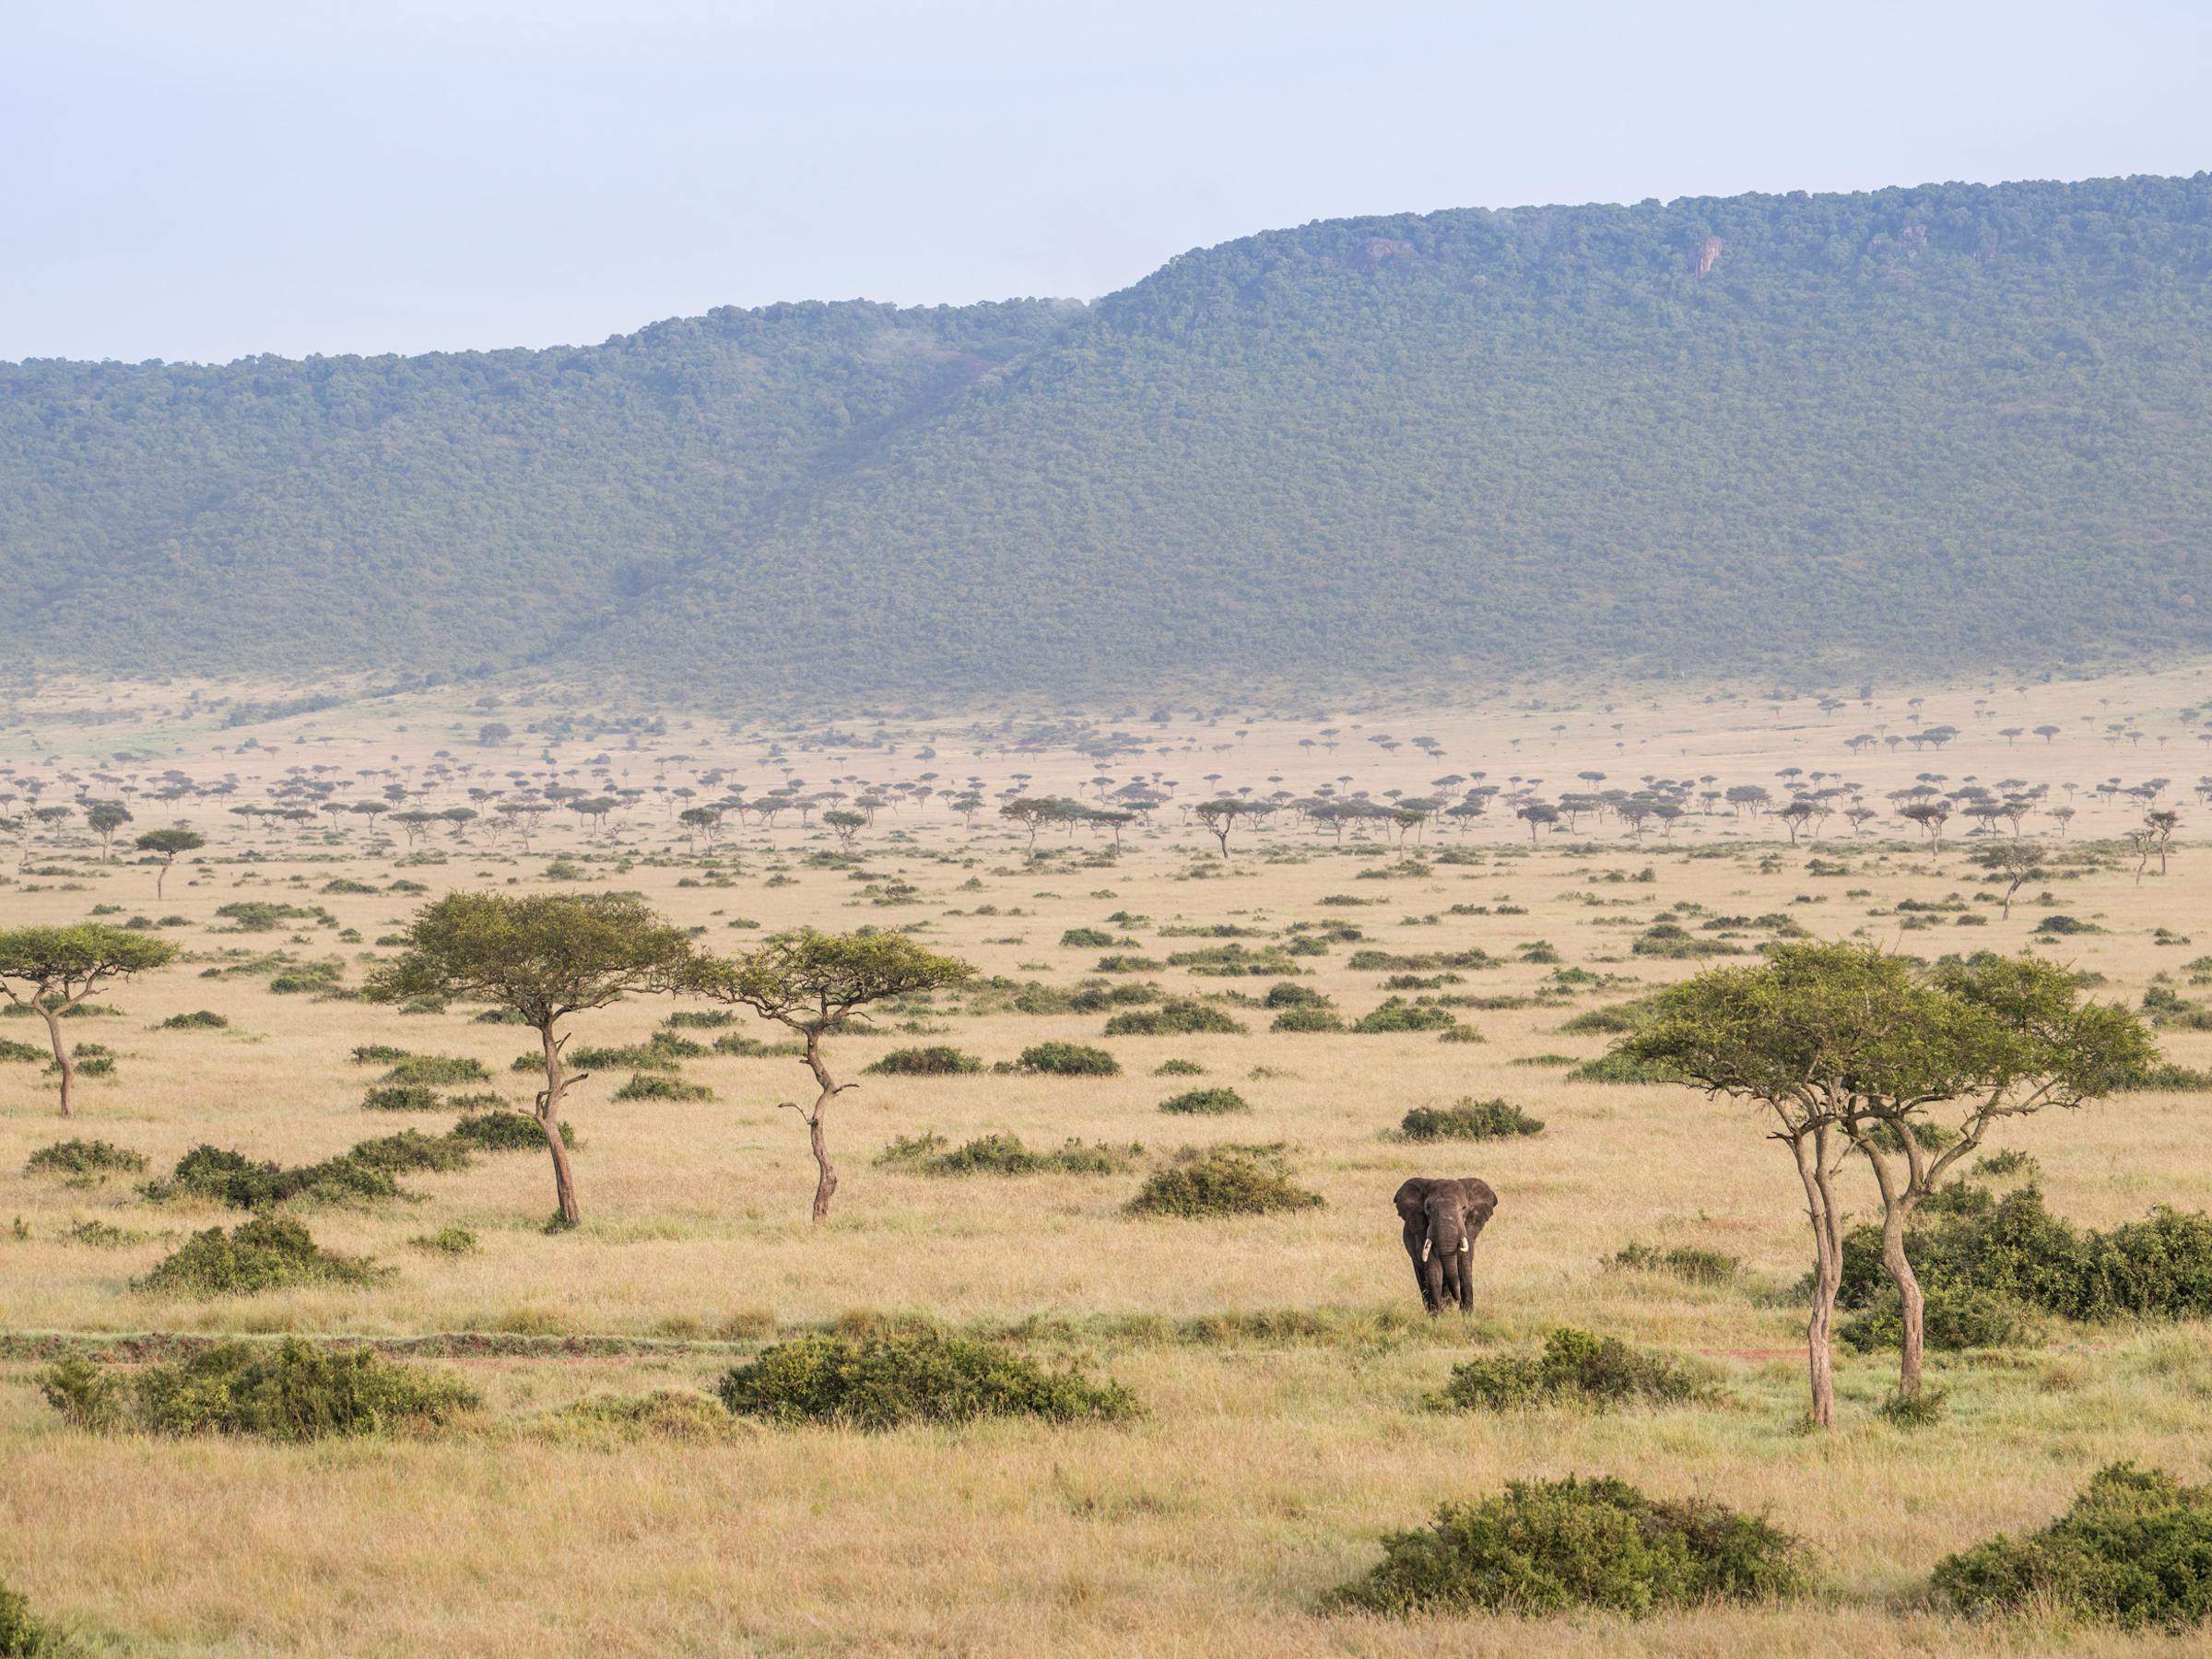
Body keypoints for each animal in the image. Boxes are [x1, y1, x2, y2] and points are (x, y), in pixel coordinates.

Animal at [1392, 1176, 1498, 1314]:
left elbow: (1464, 1264)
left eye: (1464, 1208)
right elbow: (1433, 1267)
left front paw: (1466, 1314)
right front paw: (1438, 1316)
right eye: (1427, 1207)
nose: (1458, 1300)